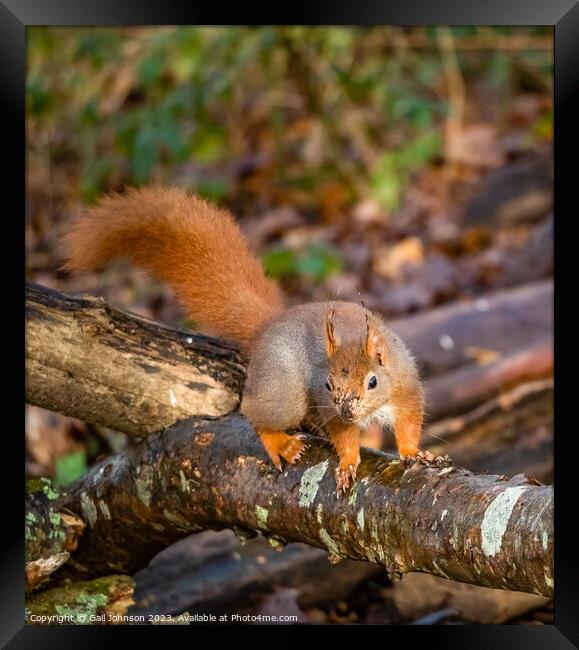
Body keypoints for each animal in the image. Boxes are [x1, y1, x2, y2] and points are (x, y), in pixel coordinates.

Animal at [63, 186, 436, 492]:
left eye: (373, 381)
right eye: (328, 385)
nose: (346, 409)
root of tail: (266, 328)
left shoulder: (406, 388)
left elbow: (408, 423)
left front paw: (415, 454)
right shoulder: (327, 404)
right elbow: (343, 437)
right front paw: (347, 463)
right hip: (284, 393)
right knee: (251, 410)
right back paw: (280, 444)